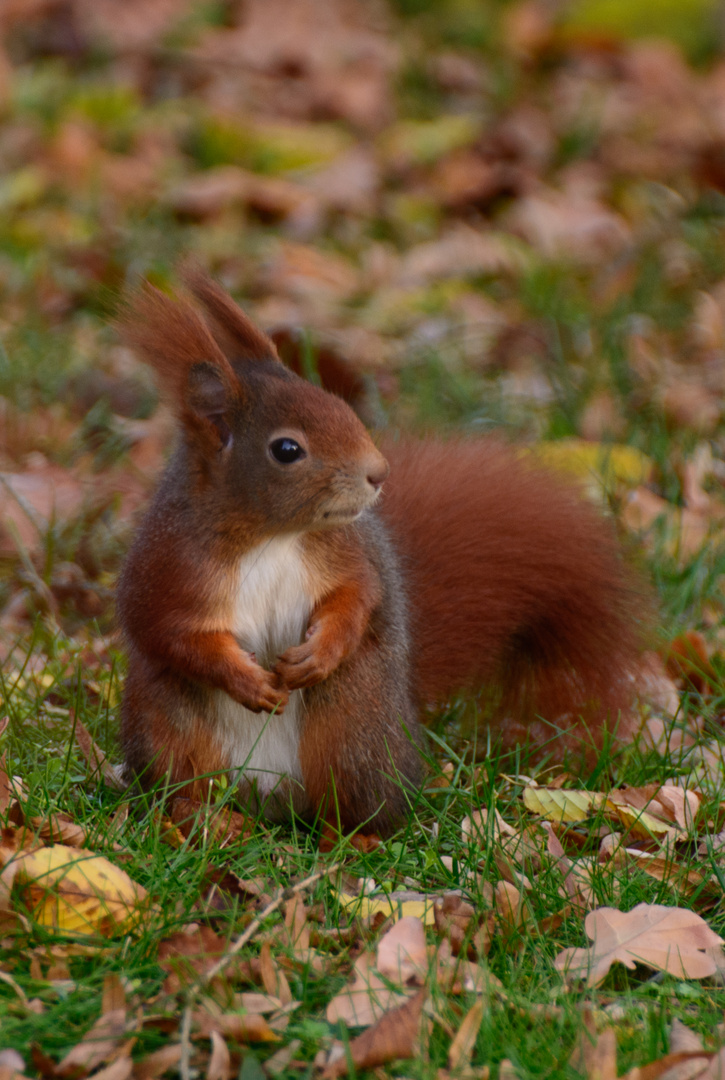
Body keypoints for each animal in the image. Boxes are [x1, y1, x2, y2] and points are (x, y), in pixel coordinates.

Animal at [116, 267, 648, 833]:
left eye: (341, 406)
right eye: (287, 449)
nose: (379, 473)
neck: (272, 537)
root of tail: (276, 800)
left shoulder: (352, 552)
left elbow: (360, 594)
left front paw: (319, 653)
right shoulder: (168, 567)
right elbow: (169, 633)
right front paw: (247, 680)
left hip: (354, 730)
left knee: (357, 806)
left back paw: (351, 837)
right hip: (171, 729)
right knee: (187, 784)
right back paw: (201, 820)